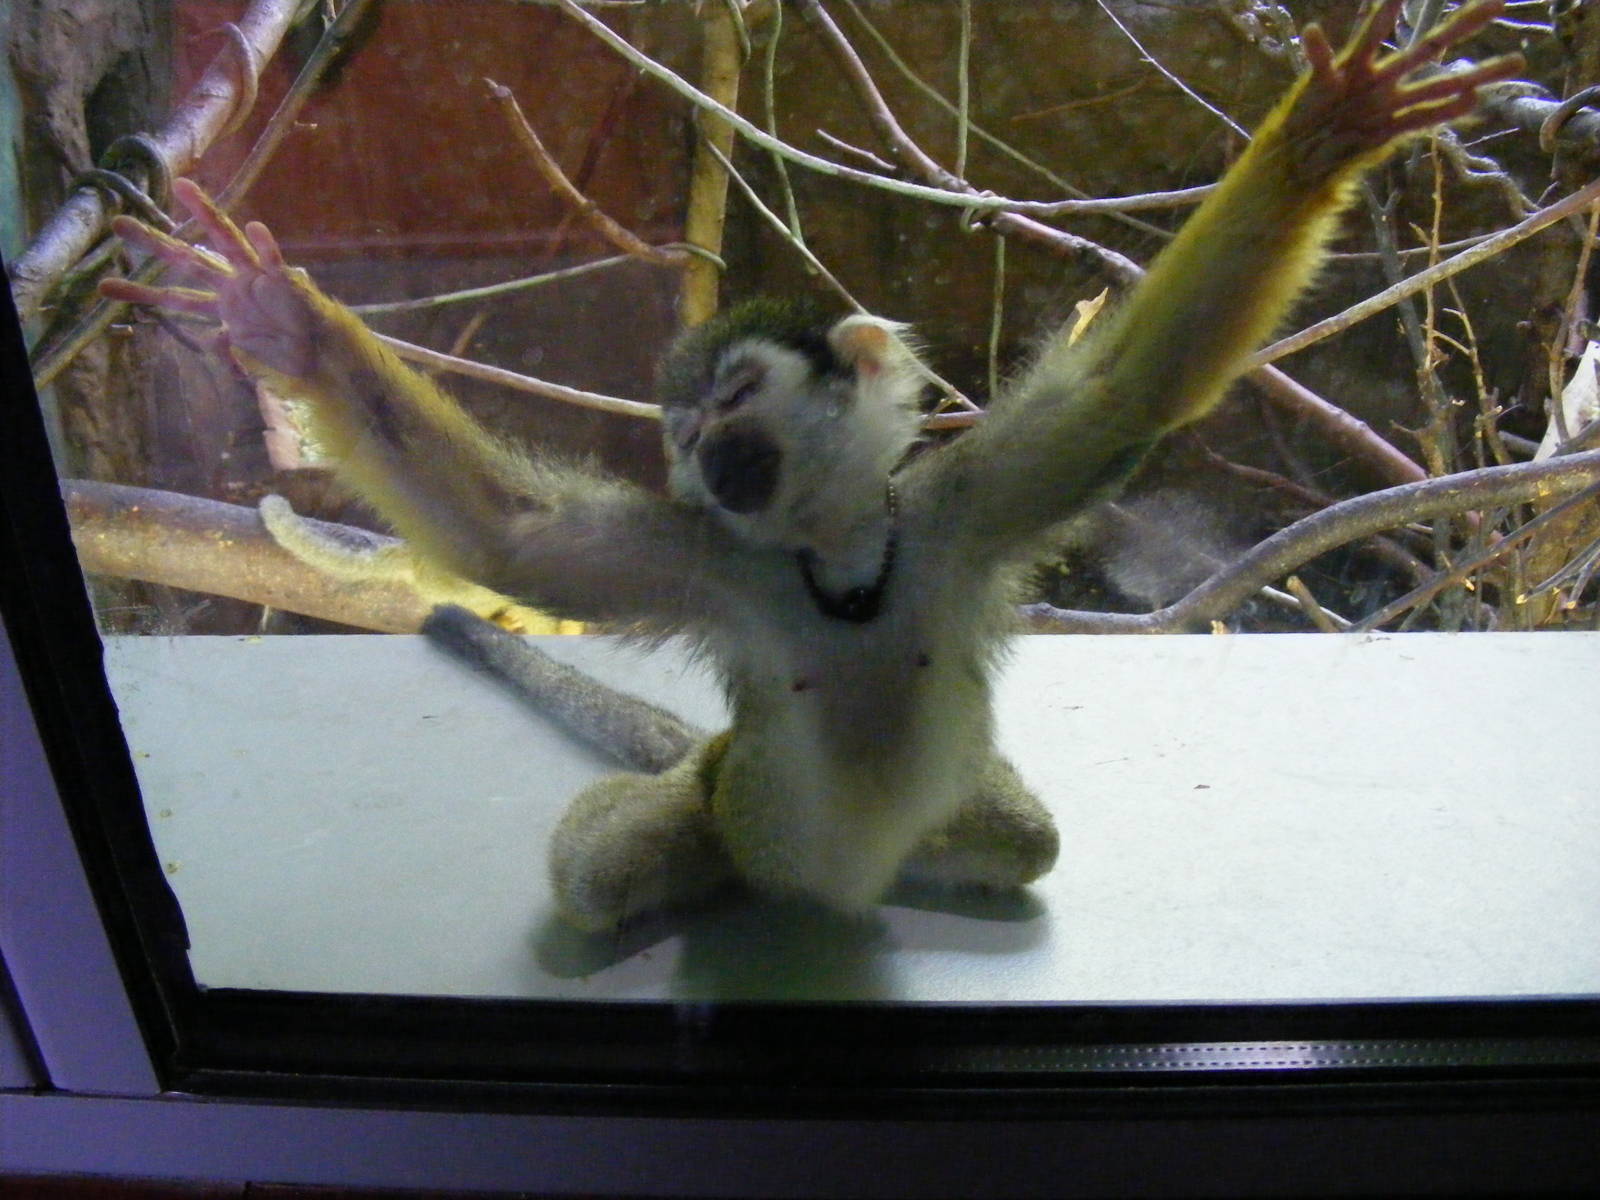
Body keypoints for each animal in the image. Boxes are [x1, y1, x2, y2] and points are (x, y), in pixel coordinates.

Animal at [101, 0, 1519, 931]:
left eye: (732, 399)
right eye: (677, 437)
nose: (709, 454)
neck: (831, 550)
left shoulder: (957, 504)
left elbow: (1137, 385)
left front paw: (1324, 135)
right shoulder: (711, 559)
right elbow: (509, 539)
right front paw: (290, 332)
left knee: (1021, 839)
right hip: (721, 805)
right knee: (612, 864)